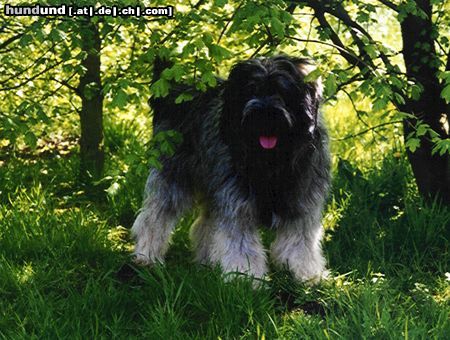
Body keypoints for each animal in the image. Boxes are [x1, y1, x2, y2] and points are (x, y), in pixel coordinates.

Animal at [130, 55, 330, 282]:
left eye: (281, 91)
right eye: (251, 90)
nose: (263, 116)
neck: (272, 162)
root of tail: (172, 91)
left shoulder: (302, 202)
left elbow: (300, 243)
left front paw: (307, 275)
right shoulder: (237, 203)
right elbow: (240, 245)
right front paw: (245, 278)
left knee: (205, 225)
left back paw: (206, 261)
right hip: (173, 176)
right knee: (154, 218)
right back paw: (146, 256)